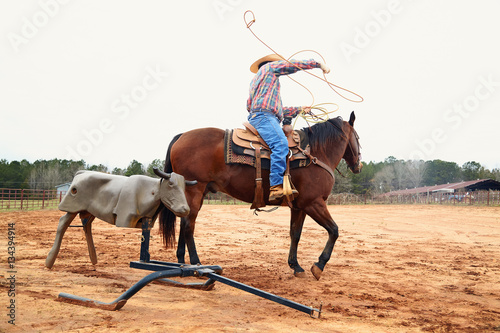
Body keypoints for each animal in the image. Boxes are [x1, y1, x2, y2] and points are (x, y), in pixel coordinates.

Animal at [158, 111, 362, 278]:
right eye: (358, 138)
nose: (358, 165)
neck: (315, 154)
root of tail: (182, 136)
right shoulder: (314, 203)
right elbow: (334, 230)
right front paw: (319, 265)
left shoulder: (299, 207)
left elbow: (295, 233)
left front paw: (295, 266)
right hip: (195, 190)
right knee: (188, 225)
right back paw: (196, 263)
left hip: (195, 194)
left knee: (184, 222)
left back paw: (182, 261)